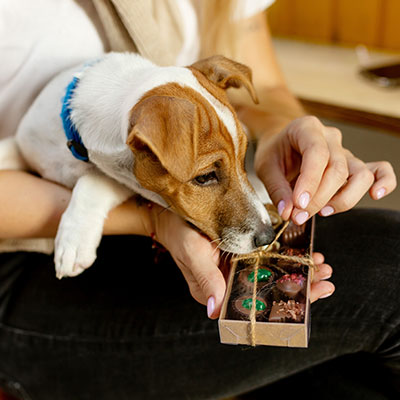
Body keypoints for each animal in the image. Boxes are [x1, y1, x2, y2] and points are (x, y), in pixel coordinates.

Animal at [0, 53, 276, 278]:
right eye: (205, 176)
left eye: (243, 158)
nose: (268, 237)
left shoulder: (125, 180)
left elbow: (94, 179)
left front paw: (74, 241)